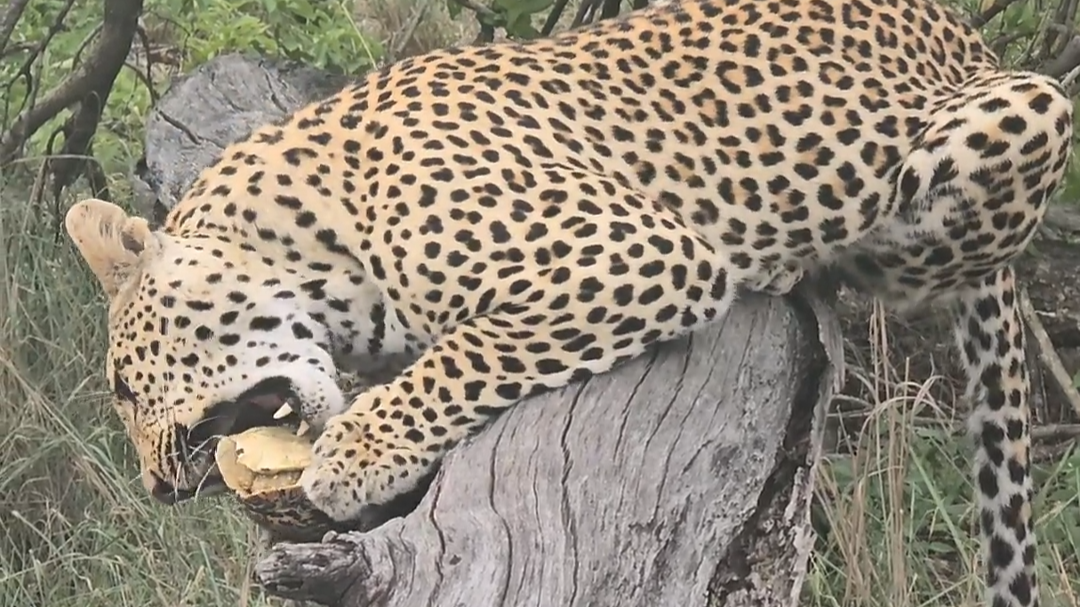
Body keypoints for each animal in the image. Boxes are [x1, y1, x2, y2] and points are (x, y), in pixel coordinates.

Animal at [63, 0, 1073, 604]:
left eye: (124, 387)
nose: (158, 488)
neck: (316, 236)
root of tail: (967, 33)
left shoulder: (643, 253)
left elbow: (465, 355)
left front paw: (356, 454)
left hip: (1022, 110)